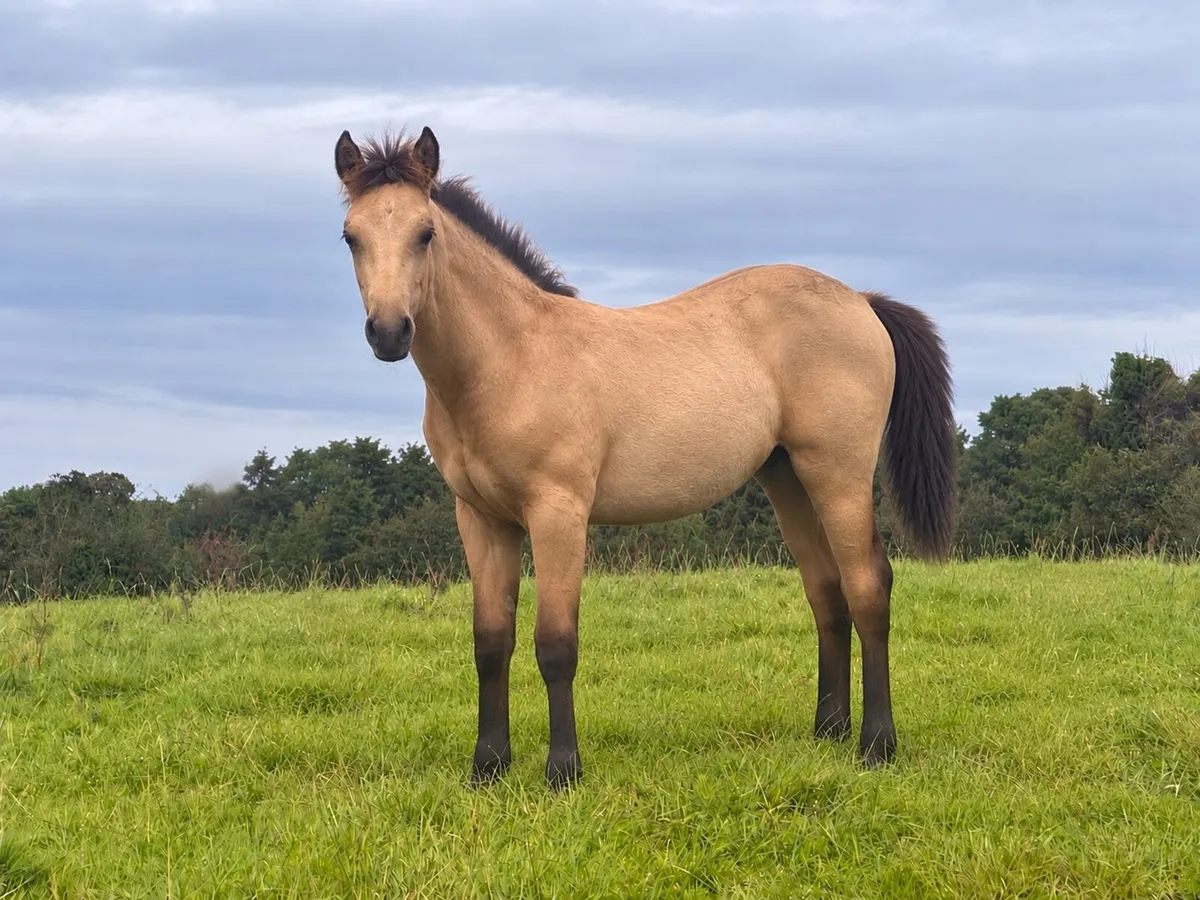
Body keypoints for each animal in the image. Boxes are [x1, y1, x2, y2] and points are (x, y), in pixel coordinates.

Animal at [332, 125, 957, 790]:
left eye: (425, 232)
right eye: (351, 236)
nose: (389, 332)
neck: (511, 358)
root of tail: (861, 301)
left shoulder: (558, 512)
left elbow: (555, 643)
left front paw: (562, 772)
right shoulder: (480, 519)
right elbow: (491, 641)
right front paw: (488, 768)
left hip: (838, 475)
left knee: (868, 588)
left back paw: (876, 745)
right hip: (787, 478)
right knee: (826, 594)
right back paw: (828, 733)